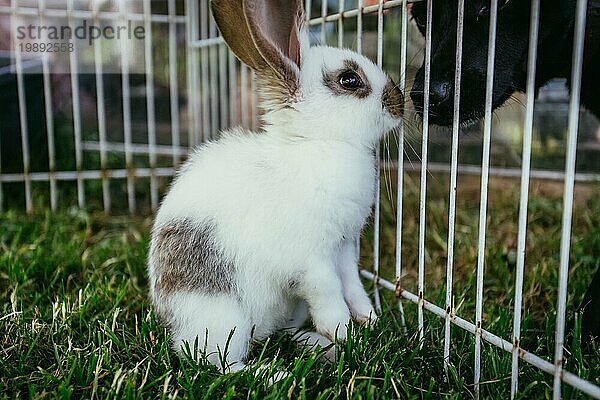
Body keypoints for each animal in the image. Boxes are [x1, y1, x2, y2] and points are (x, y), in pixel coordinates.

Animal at [148, 0, 406, 374]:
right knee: (221, 362)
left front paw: (369, 320)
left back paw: (314, 347)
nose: (400, 103)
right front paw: (346, 336)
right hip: (221, 317)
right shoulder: (314, 262)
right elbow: (330, 298)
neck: (318, 143)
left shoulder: (342, 249)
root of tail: (174, 326)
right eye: (349, 79)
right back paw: (275, 372)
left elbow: (353, 287)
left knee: (279, 334)